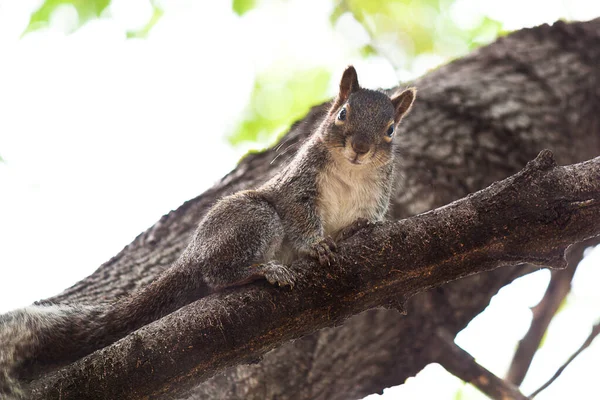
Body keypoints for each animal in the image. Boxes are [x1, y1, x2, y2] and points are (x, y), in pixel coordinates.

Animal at [0, 65, 414, 396]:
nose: (360, 147)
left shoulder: (375, 195)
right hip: (253, 218)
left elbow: (363, 221)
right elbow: (300, 220)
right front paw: (317, 246)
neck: (352, 171)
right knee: (216, 274)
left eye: (391, 129)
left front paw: (359, 229)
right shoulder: (298, 189)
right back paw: (258, 271)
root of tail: (191, 254)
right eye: (342, 113)